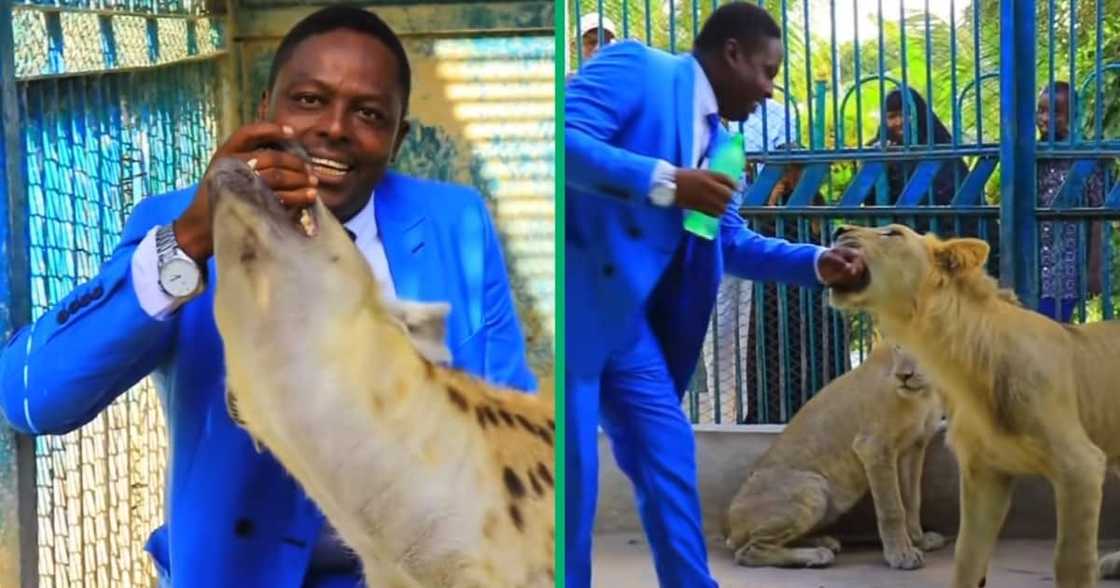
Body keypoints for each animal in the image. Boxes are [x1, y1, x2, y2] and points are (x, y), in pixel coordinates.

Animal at [725, 344, 945, 568]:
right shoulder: (874, 447)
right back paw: (817, 555)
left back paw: (823, 541)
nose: (903, 375)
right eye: (898, 346)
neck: (925, 394)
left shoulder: (915, 446)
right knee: (749, 552)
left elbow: (912, 501)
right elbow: (892, 508)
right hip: (812, 487)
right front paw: (901, 554)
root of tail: (730, 526)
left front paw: (919, 540)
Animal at [828, 224, 1120, 586]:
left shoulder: (1081, 466)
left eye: (892, 233)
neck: (959, 367)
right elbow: (967, 557)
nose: (839, 229)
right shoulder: (984, 475)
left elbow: (1070, 562)